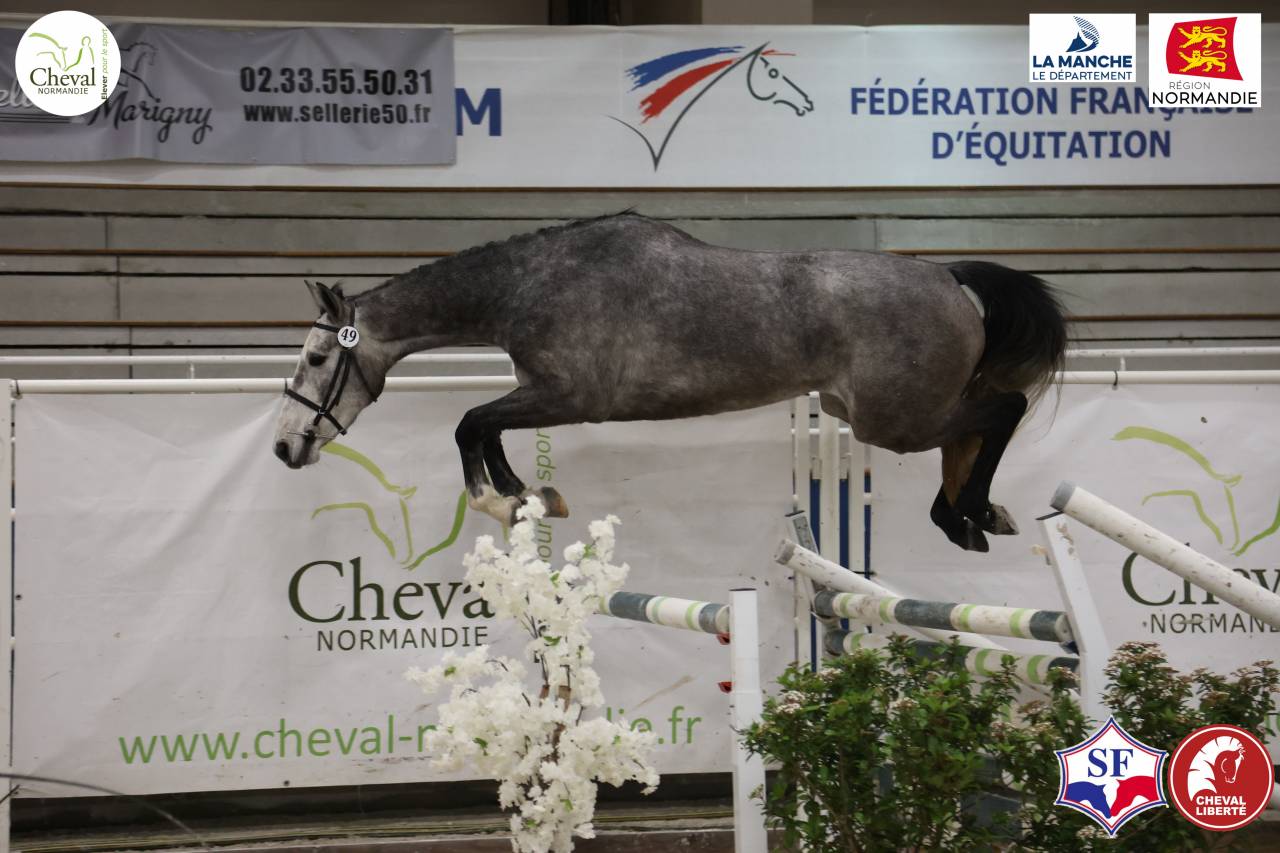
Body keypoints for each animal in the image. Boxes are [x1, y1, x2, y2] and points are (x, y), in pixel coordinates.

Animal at [273, 213, 1066, 552]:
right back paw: (967, 517)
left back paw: (969, 513)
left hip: (893, 419)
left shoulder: (574, 397)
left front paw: (500, 501)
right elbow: (487, 427)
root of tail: (950, 278)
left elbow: (470, 421)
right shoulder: (542, 394)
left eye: (315, 359)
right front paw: (530, 496)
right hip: (883, 411)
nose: (285, 448)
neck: (530, 285)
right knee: (974, 428)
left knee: (1001, 409)